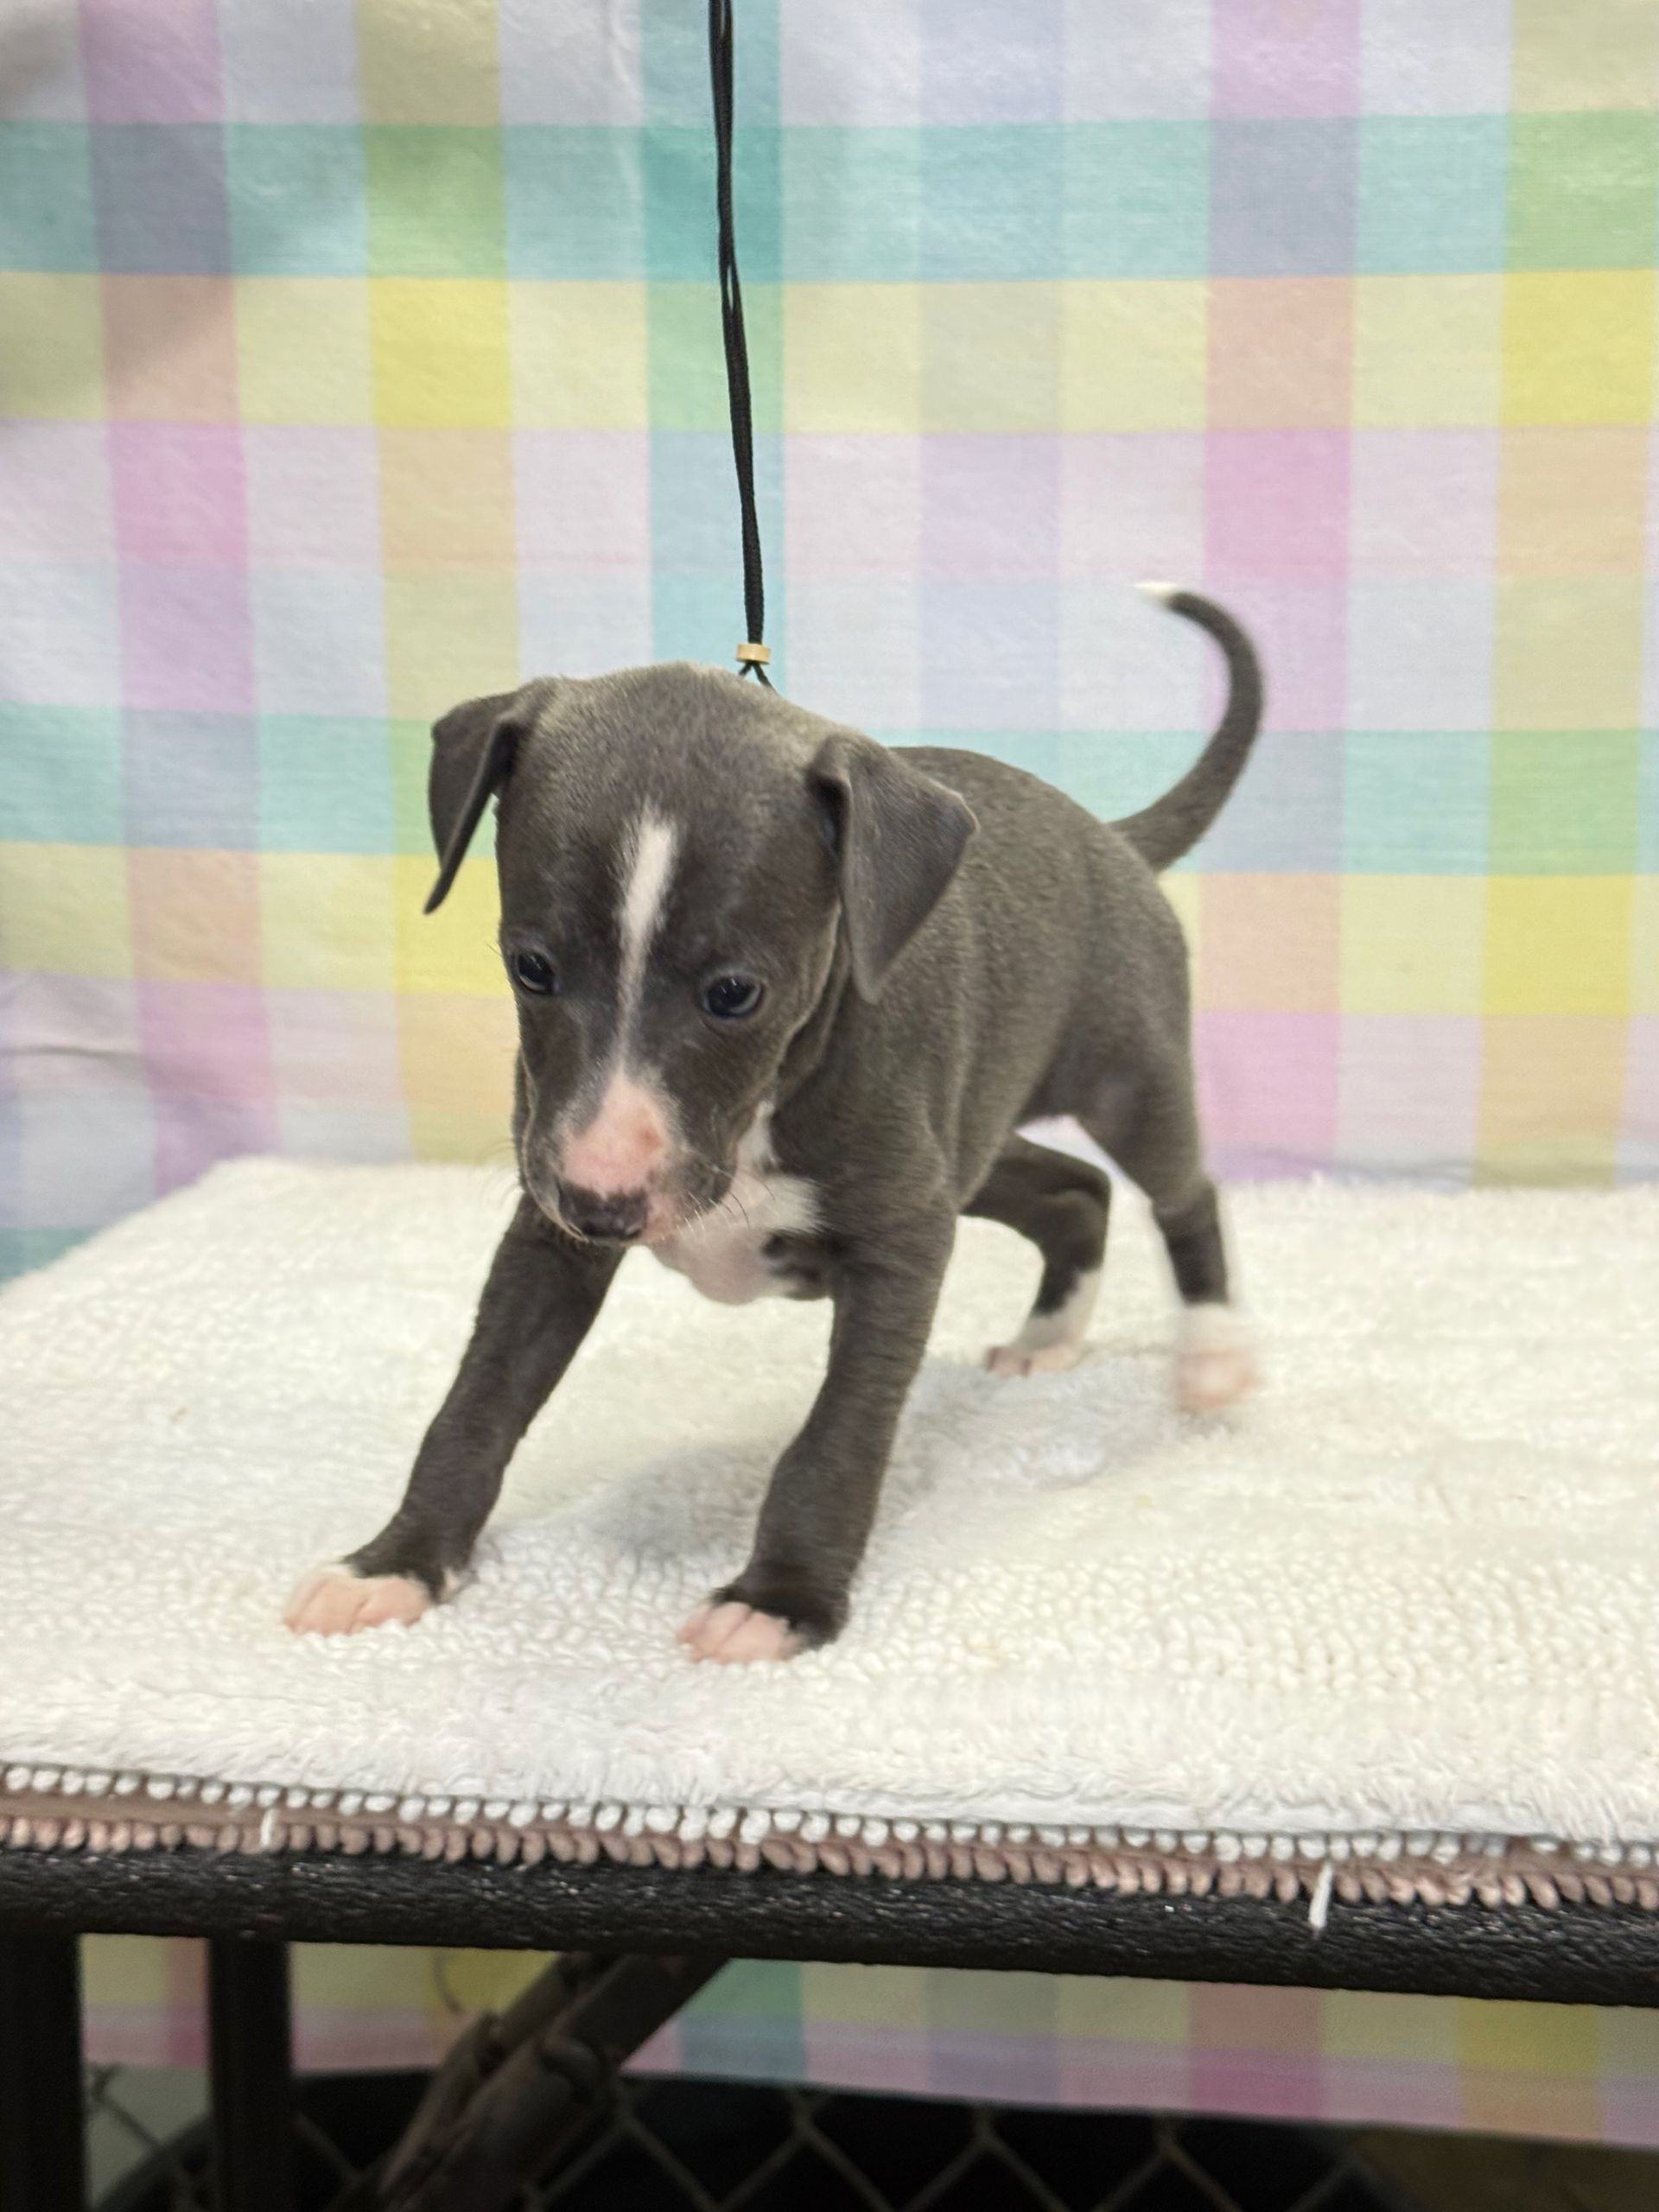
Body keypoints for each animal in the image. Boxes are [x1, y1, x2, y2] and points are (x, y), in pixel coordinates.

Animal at [285, 586, 1262, 1664]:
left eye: (734, 993)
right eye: (531, 967)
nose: (603, 1202)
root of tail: (1112, 834)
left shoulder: (899, 1245)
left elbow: (839, 1434)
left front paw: (783, 1598)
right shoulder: (549, 1228)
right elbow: (478, 1400)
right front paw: (396, 1562)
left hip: (1121, 1071)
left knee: (1181, 1187)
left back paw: (1215, 1353)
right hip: (964, 1138)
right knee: (1073, 1188)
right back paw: (1050, 1333)